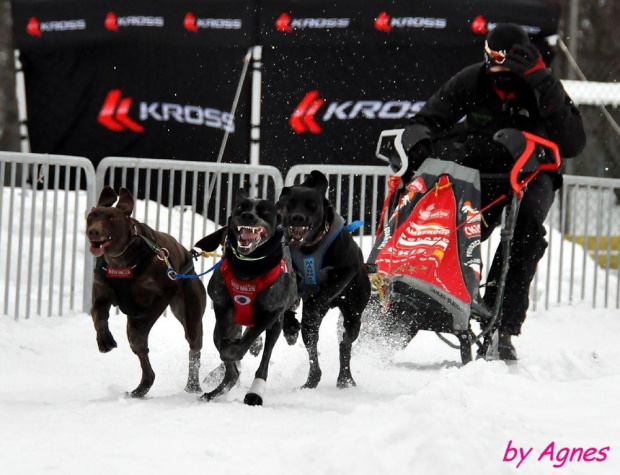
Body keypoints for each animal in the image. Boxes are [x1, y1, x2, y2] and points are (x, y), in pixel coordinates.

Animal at [86, 186, 206, 398]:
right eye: (91, 216)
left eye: (112, 218)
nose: (93, 231)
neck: (122, 262)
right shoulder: (101, 294)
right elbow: (97, 315)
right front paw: (104, 339)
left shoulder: (163, 293)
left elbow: (139, 335)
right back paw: (142, 387)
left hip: (190, 312)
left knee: (194, 347)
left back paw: (192, 386)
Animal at [196, 189, 298, 406]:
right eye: (240, 208)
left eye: (265, 212)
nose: (248, 216)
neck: (248, 268)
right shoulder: (222, 304)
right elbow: (224, 341)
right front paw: (228, 350)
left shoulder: (272, 311)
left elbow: (248, 339)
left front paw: (238, 348)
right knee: (232, 371)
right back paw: (216, 390)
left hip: (275, 325)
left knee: (264, 358)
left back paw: (254, 392)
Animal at [278, 171, 370, 390]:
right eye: (289, 203)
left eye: (312, 205)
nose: (297, 217)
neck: (310, 247)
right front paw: (289, 327)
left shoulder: (349, 267)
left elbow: (323, 294)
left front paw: (313, 304)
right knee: (312, 344)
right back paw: (312, 379)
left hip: (354, 315)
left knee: (345, 344)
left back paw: (345, 378)